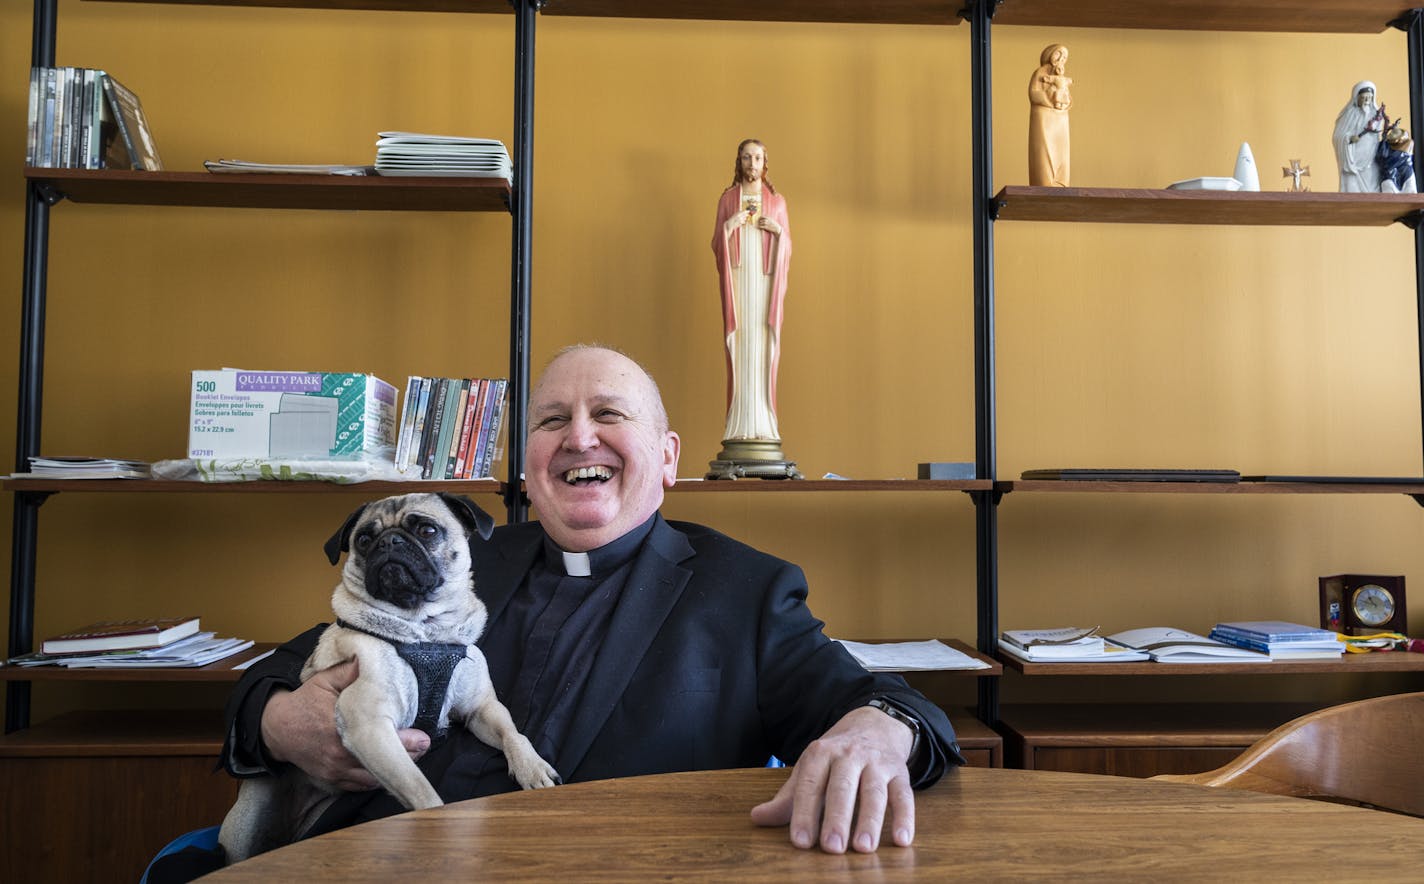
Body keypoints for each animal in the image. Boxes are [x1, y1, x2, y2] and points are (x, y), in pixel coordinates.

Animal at [219, 489, 558, 859]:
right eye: (364, 540)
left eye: (427, 531)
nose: (389, 542)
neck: (426, 632)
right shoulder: (370, 725)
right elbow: (422, 791)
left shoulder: (481, 710)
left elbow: (514, 735)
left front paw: (532, 767)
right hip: (247, 821)